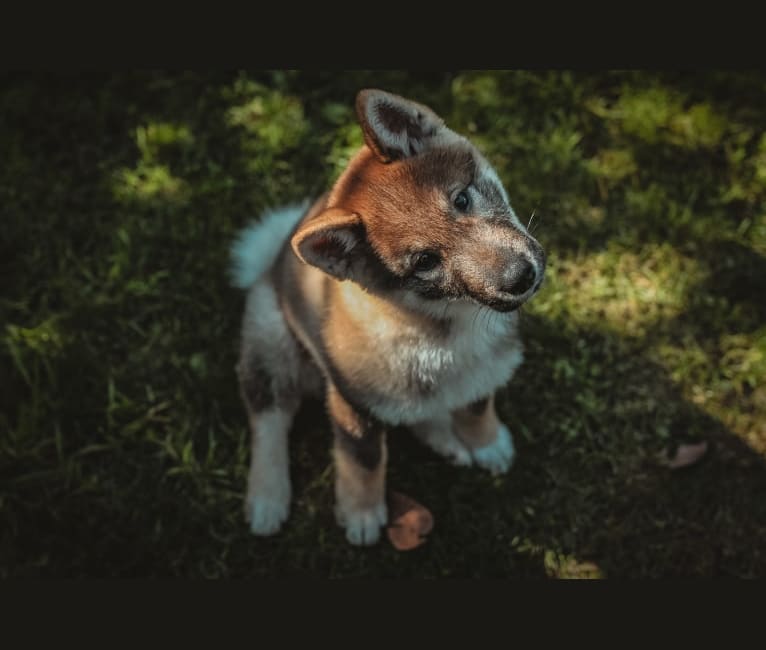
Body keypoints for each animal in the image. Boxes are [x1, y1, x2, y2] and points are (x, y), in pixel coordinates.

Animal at [231, 87, 548, 540]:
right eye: (425, 262)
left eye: (462, 199)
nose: (521, 276)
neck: (442, 324)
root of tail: (270, 263)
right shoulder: (352, 404)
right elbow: (363, 460)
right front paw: (362, 512)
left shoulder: (481, 368)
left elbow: (475, 404)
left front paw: (485, 442)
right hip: (269, 342)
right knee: (269, 418)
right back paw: (267, 495)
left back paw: (446, 438)